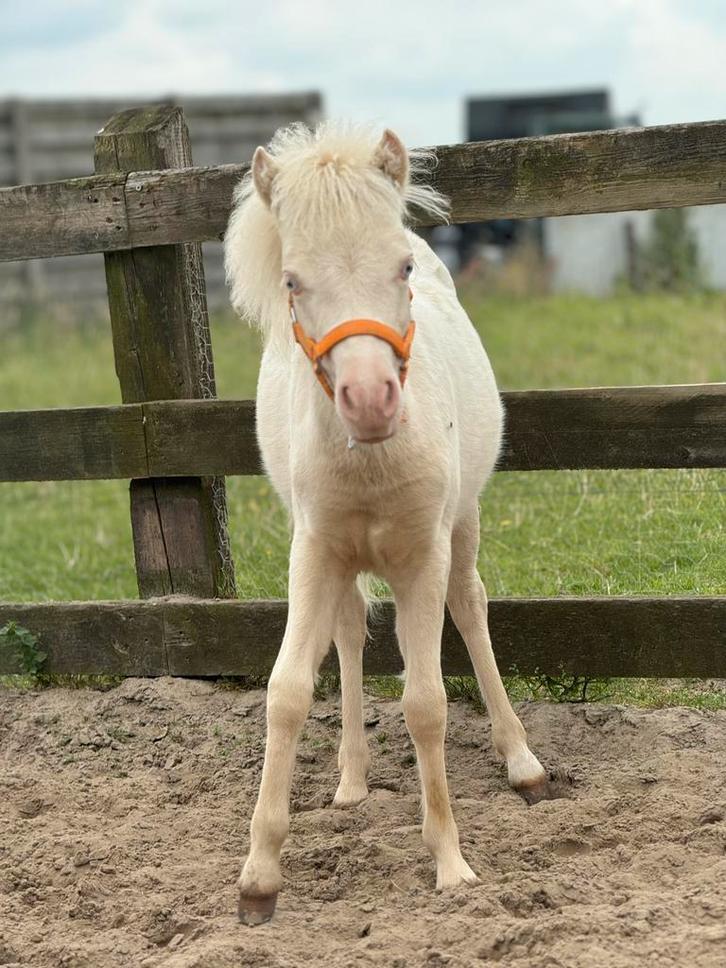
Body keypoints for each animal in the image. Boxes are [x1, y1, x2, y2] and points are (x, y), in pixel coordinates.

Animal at [224, 121, 552, 925]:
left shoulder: (421, 555)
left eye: (400, 266)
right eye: (291, 281)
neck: (371, 458)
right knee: (346, 631)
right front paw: (259, 877)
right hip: (342, 561)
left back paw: (522, 761)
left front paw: (452, 864)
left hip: (462, 524)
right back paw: (351, 782)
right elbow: (286, 692)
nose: (371, 399)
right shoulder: (312, 550)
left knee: (471, 605)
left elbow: (426, 702)